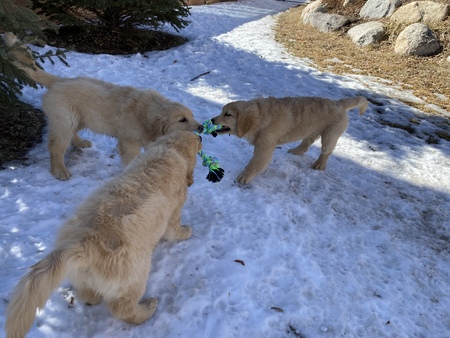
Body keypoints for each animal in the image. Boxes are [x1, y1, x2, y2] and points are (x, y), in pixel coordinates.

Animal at [3, 34, 202, 181]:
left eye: (192, 115)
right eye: (182, 120)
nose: (200, 127)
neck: (149, 113)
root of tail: (60, 81)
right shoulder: (129, 141)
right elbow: (132, 158)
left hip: (81, 118)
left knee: (72, 134)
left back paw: (81, 143)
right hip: (65, 119)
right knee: (56, 146)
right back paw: (60, 170)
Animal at [4, 130, 201, 338]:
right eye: (196, 138)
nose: (201, 136)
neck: (169, 148)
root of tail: (83, 244)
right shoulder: (174, 210)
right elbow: (174, 228)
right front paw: (186, 231)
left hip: (81, 275)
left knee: (87, 294)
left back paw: (94, 299)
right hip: (135, 275)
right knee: (123, 308)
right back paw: (147, 309)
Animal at [213, 95, 368, 184]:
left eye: (228, 114)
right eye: (222, 111)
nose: (212, 120)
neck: (262, 117)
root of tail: (339, 103)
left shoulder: (265, 146)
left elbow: (255, 163)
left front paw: (245, 176)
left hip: (331, 134)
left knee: (326, 151)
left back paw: (319, 164)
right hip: (311, 129)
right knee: (307, 142)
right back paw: (295, 151)